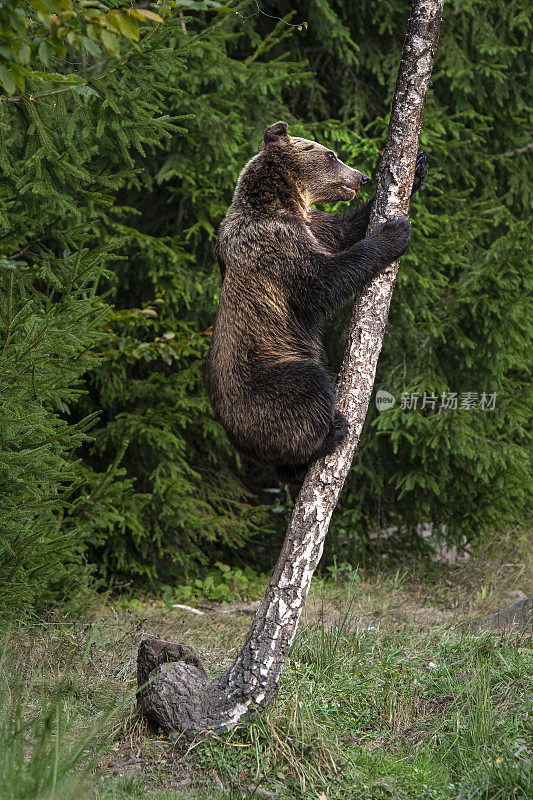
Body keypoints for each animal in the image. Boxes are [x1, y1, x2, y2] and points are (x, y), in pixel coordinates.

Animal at [206, 122, 426, 478]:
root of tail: (236, 440)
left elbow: (343, 229)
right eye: (331, 154)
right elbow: (323, 283)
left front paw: (418, 168)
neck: (281, 202)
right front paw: (394, 232)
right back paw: (328, 436)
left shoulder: (313, 225)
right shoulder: (277, 245)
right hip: (268, 381)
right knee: (309, 388)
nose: (362, 176)